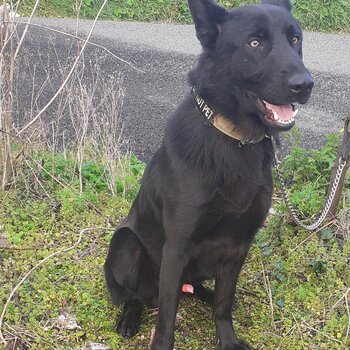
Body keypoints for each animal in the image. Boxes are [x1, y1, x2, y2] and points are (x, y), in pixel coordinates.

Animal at [104, 1, 312, 348]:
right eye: (254, 43)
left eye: (295, 39)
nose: (305, 84)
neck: (235, 139)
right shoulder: (176, 249)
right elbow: (166, 317)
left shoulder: (238, 247)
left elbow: (224, 305)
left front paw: (227, 339)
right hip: (126, 246)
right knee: (137, 296)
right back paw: (130, 316)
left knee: (200, 291)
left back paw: (206, 294)